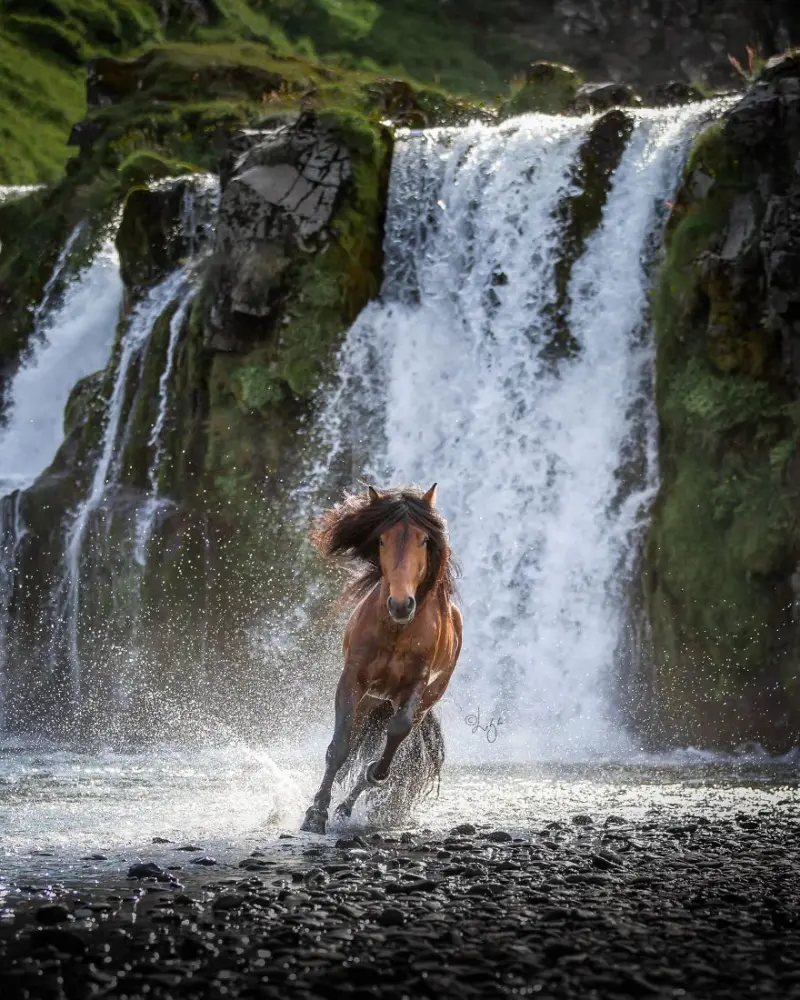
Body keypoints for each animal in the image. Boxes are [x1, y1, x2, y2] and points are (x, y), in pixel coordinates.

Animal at [301, 483, 462, 834]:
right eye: (382, 539)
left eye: (424, 539)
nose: (401, 604)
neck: (396, 631)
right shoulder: (352, 681)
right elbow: (340, 748)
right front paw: (315, 815)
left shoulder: (415, 687)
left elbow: (394, 738)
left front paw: (373, 775)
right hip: (371, 701)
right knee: (352, 744)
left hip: (417, 702)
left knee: (391, 747)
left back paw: (349, 805)